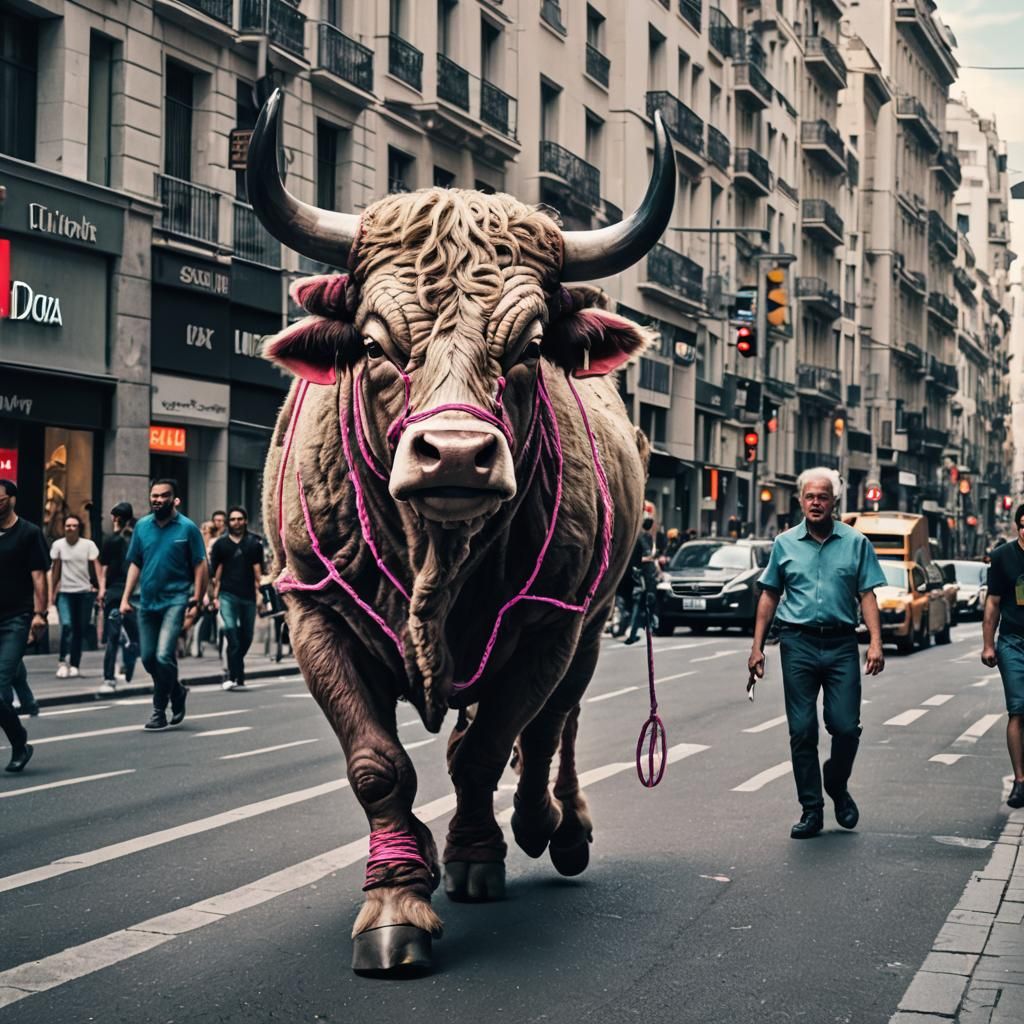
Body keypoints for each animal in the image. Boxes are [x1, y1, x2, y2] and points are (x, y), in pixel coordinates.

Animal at [247, 90, 676, 975]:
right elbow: (380, 768)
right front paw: (396, 899)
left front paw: (479, 854)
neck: (436, 561)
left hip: (591, 628)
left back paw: (556, 826)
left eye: (531, 345)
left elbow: (489, 749)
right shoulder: (312, 618)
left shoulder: (552, 627)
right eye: (373, 343)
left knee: (554, 729)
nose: (454, 455)